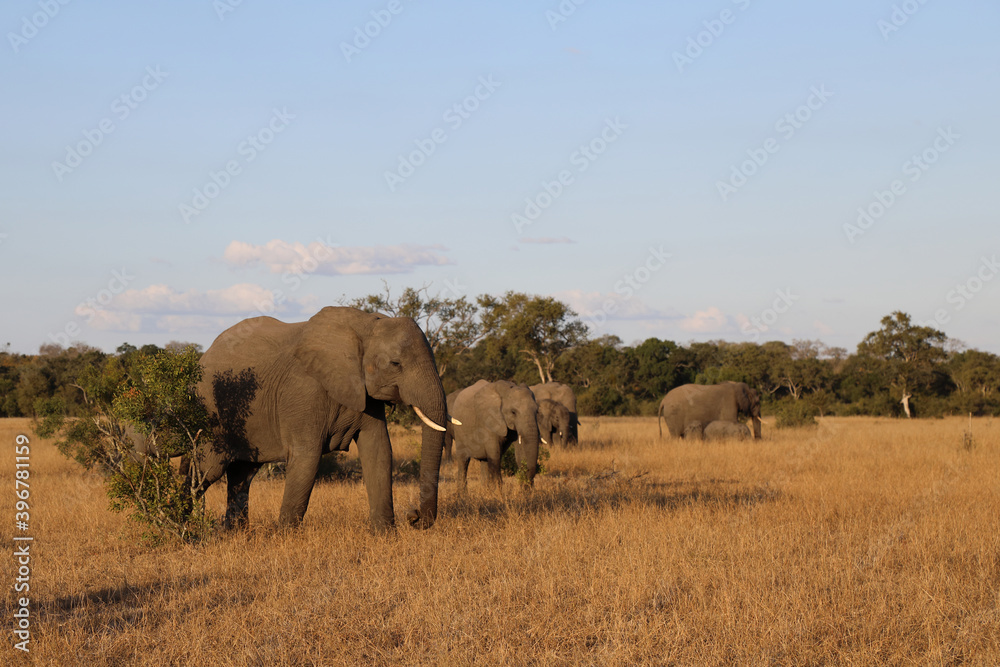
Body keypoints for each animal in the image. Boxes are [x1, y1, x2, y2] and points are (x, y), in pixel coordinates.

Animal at [192, 306, 448, 532]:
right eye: (396, 364)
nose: (413, 516)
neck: (365, 325)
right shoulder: (302, 392)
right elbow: (307, 457)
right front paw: (285, 537)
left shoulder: (366, 396)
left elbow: (379, 452)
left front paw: (385, 535)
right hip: (211, 415)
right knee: (208, 470)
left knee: (242, 474)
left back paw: (235, 533)